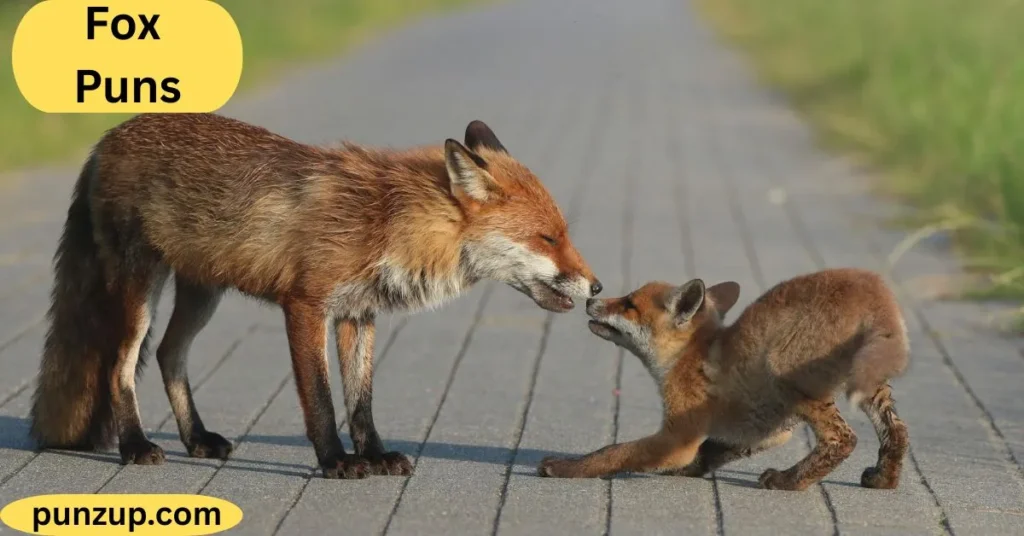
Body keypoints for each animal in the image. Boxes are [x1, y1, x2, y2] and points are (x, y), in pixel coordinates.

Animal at [30, 113, 602, 479]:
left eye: (563, 234)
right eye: (548, 238)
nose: (597, 287)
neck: (387, 221)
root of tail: (107, 137)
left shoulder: (358, 313)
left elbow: (361, 402)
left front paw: (376, 456)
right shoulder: (305, 305)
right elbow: (322, 401)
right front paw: (337, 462)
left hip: (203, 292)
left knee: (171, 356)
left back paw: (196, 439)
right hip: (141, 292)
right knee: (119, 367)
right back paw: (135, 445)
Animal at [538, 268, 910, 491]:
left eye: (629, 304)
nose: (592, 298)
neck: (690, 355)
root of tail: (871, 284)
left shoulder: (677, 435)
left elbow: (613, 451)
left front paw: (565, 467)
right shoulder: (767, 431)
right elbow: (708, 452)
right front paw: (688, 470)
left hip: (788, 375)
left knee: (842, 439)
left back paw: (787, 481)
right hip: (872, 387)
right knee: (899, 433)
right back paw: (884, 478)